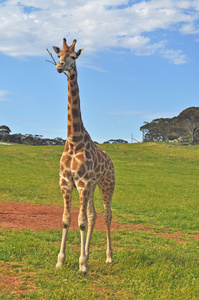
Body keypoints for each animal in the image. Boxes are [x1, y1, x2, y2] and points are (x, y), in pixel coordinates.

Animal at [52, 38, 115, 274]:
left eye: (73, 56)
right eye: (59, 54)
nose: (59, 66)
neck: (74, 139)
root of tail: (110, 161)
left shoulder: (83, 182)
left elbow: (80, 222)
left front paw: (82, 266)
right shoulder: (67, 182)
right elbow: (67, 219)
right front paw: (61, 261)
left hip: (106, 184)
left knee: (106, 215)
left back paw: (108, 257)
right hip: (93, 186)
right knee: (93, 215)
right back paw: (87, 254)